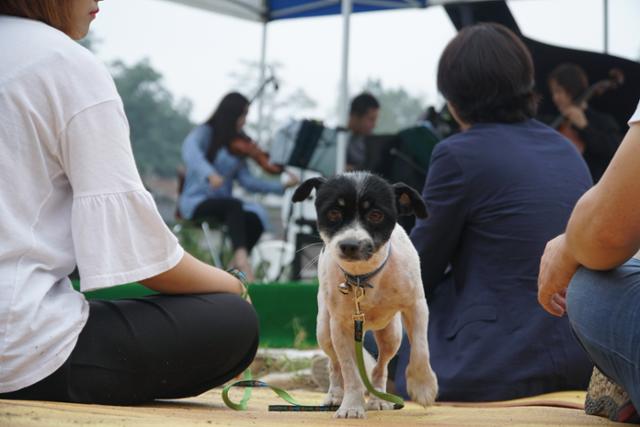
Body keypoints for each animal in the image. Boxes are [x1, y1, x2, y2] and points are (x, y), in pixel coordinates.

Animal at [292, 172, 438, 420]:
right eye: (333, 213)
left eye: (376, 215)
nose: (350, 245)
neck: (363, 277)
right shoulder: (340, 325)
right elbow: (350, 371)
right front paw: (351, 405)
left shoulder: (417, 306)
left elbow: (421, 348)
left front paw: (423, 386)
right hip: (325, 331)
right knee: (335, 365)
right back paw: (335, 394)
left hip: (391, 335)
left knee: (381, 366)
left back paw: (379, 398)